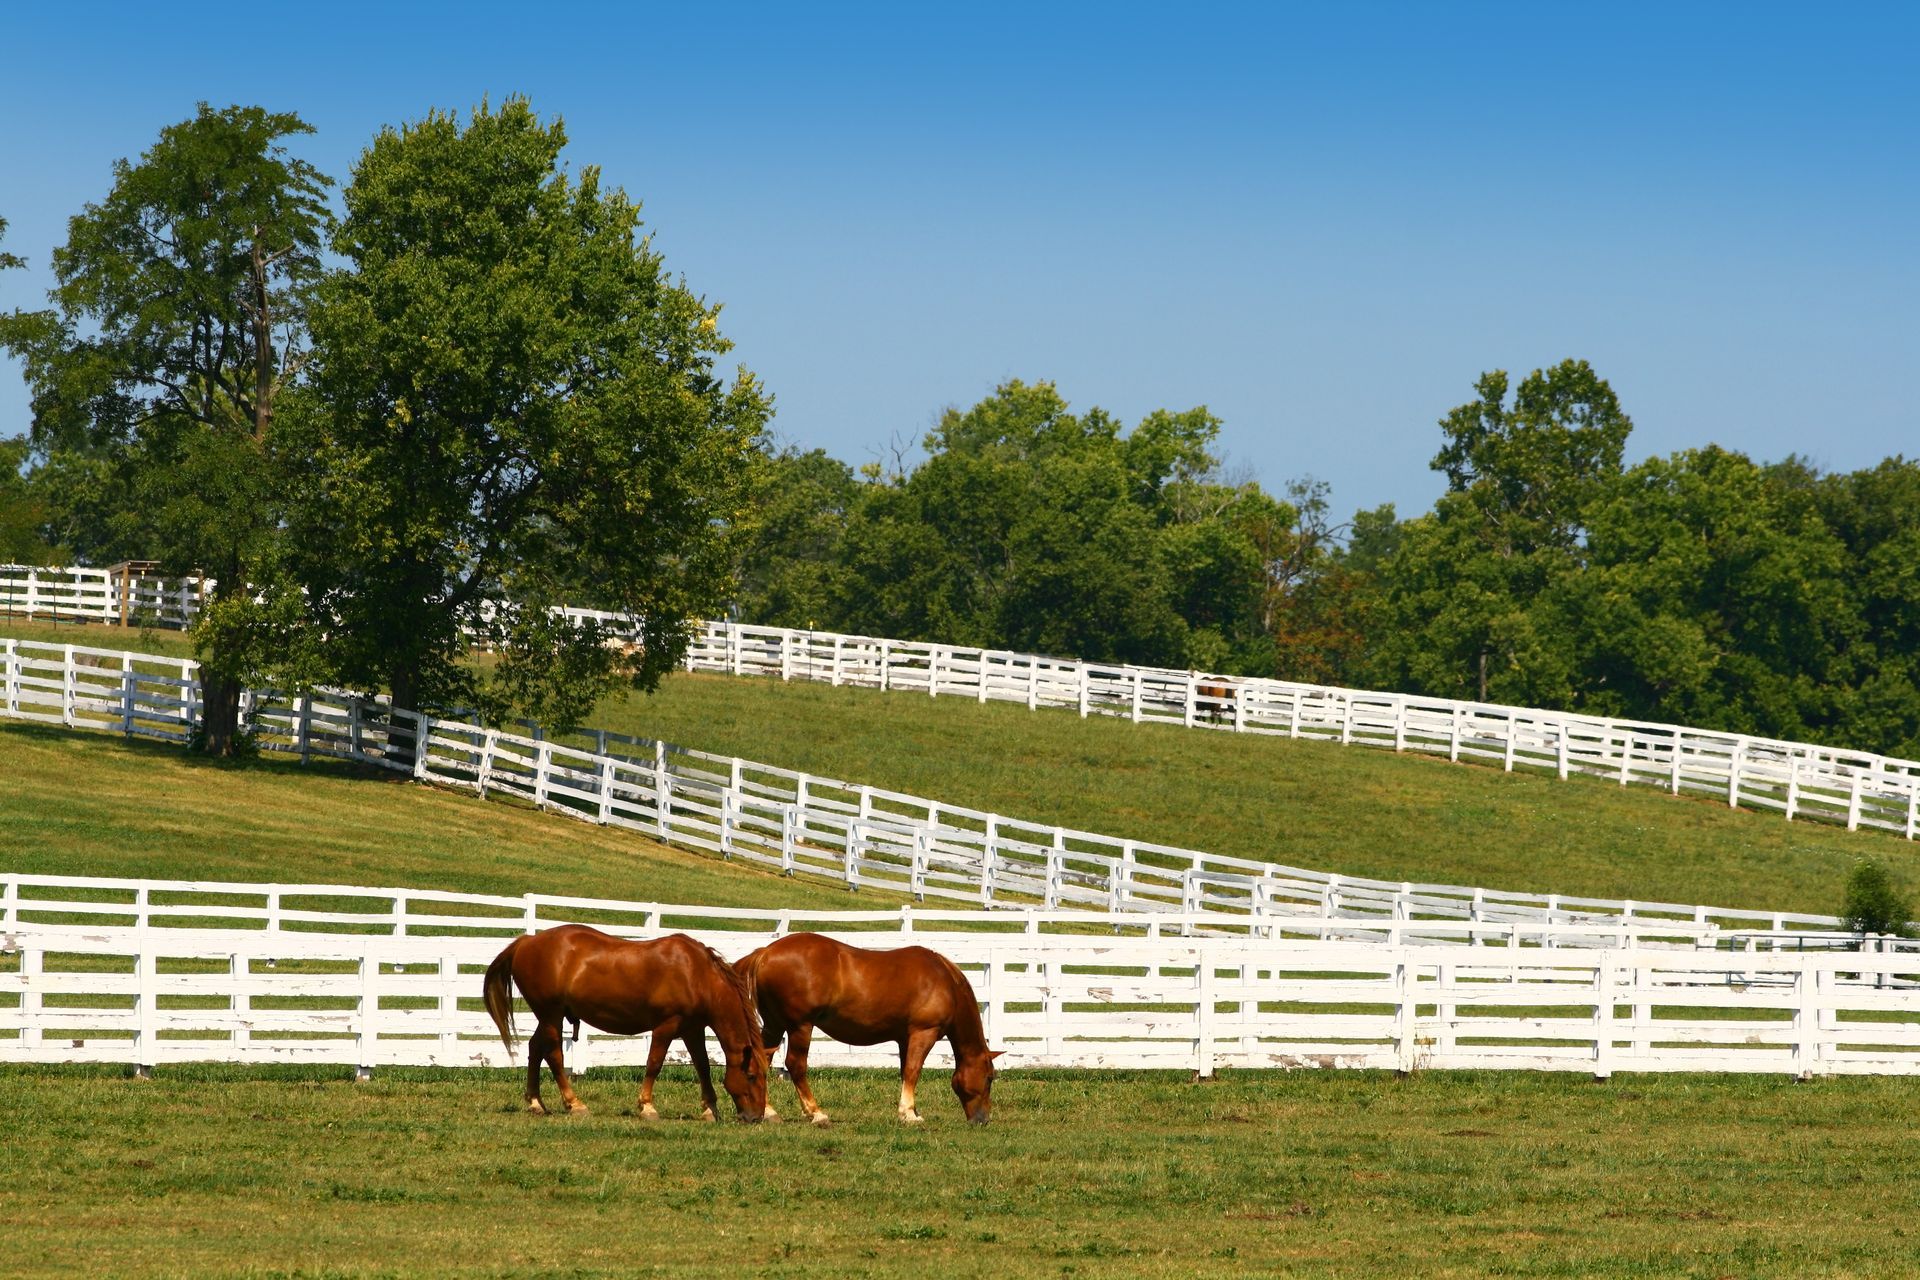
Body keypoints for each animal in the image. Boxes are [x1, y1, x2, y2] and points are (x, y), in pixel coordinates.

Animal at [482, 925, 769, 1122]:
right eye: (751, 1076)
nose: (755, 1117)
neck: (696, 973)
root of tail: (527, 941)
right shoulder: (666, 1026)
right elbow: (654, 1064)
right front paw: (647, 1106)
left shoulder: (693, 1029)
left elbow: (703, 1067)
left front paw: (710, 1109)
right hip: (551, 1015)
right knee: (553, 1055)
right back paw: (574, 1103)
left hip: (547, 1017)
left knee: (534, 1049)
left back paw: (535, 1103)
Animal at [643, 933, 1002, 1126]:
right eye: (989, 1078)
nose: (982, 1119)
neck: (944, 981)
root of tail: (765, 953)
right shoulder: (921, 1034)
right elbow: (913, 1072)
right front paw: (909, 1114)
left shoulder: (904, 1039)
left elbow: (905, 1071)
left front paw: (909, 1109)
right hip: (800, 1027)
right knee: (795, 1065)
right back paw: (815, 1112)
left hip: (774, 1026)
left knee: (764, 1061)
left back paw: (768, 1111)